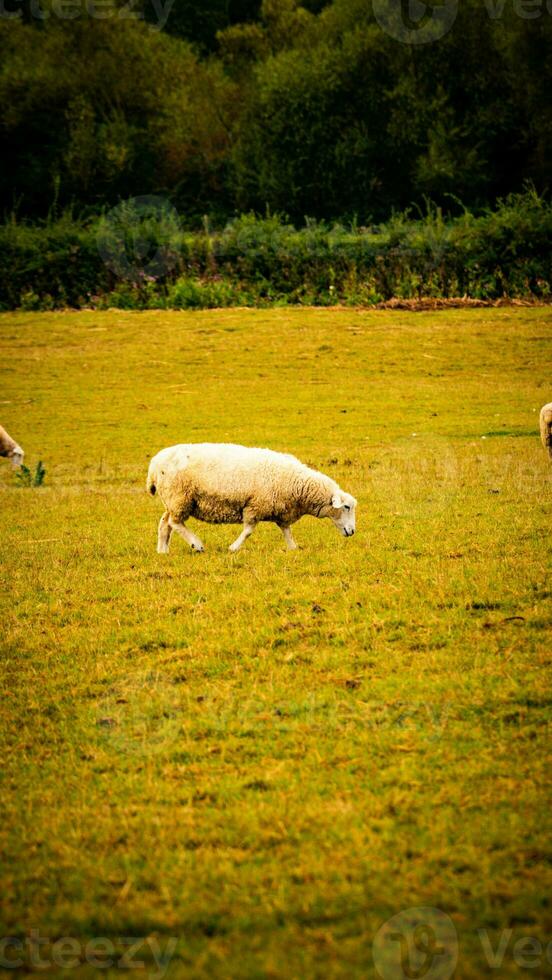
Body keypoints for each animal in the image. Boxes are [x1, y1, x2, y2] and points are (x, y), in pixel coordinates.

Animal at [146, 442, 358, 552]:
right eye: (346, 507)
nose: (352, 531)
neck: (297, 484)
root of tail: (154, 464)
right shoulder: (255, 506)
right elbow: (248, 530)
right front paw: (233, 548)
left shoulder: (281, 510)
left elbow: (287, 531)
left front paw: (293, 548)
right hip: (180, 496)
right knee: (175, 523)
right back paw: (196, 544)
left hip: (173, 499)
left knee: (164, 523)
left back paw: (163, 551)